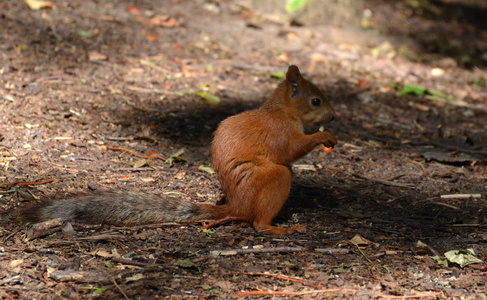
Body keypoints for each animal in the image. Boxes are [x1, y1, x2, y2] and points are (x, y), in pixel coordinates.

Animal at [21, 65, 336, 234]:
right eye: (316, 101)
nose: (334, 117)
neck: (283, 109)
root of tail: (237, 204)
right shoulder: (280, 131)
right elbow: (289, 150)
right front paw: (324, 136)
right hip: (273, 179)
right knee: (258, 220)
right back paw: (281, 227)